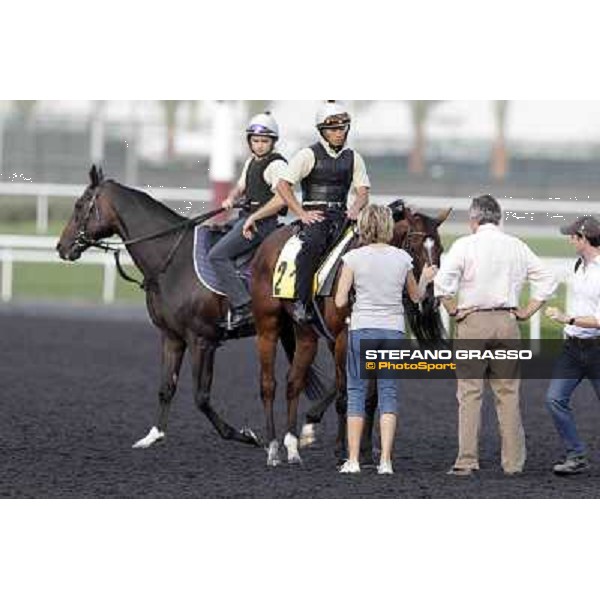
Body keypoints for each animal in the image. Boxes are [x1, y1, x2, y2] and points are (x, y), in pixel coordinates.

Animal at [56, 164, 328, 450]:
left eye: (79, 205)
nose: (61, 247)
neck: (174, 261)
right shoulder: (172, 337)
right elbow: (166, 388)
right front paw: (154, 435)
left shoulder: (202, 341)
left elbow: (201, 397)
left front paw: (246, 435)